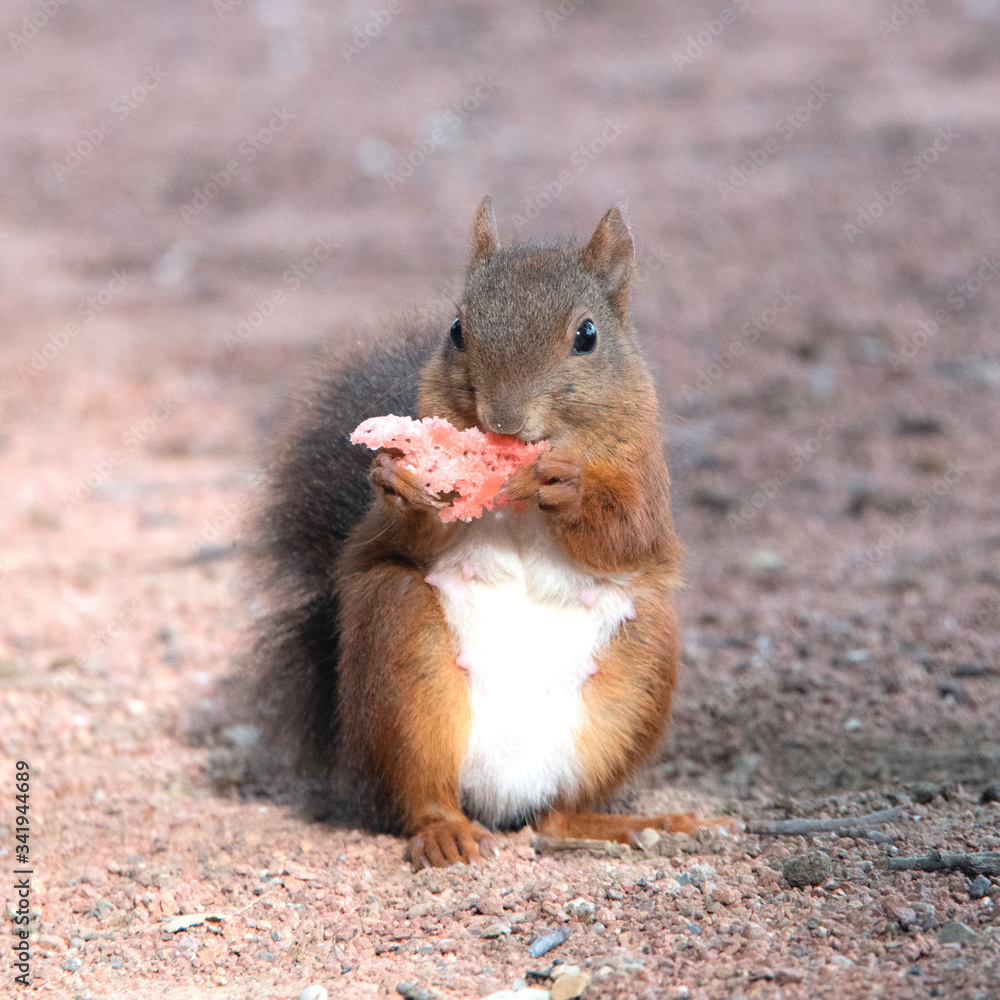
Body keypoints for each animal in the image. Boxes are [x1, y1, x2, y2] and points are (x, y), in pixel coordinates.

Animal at [249, 197, 702, 869]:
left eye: (587, 335)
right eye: (458, 329)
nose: (503, 420)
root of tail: (502, 790)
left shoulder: (646, 474)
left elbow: (628, 535)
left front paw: (566, 485)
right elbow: (397, 530)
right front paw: (398, 477)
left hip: (640, 668)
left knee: (557, 815)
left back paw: (638, 824)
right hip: (401, 645)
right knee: (423, 793)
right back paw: (446, 833)